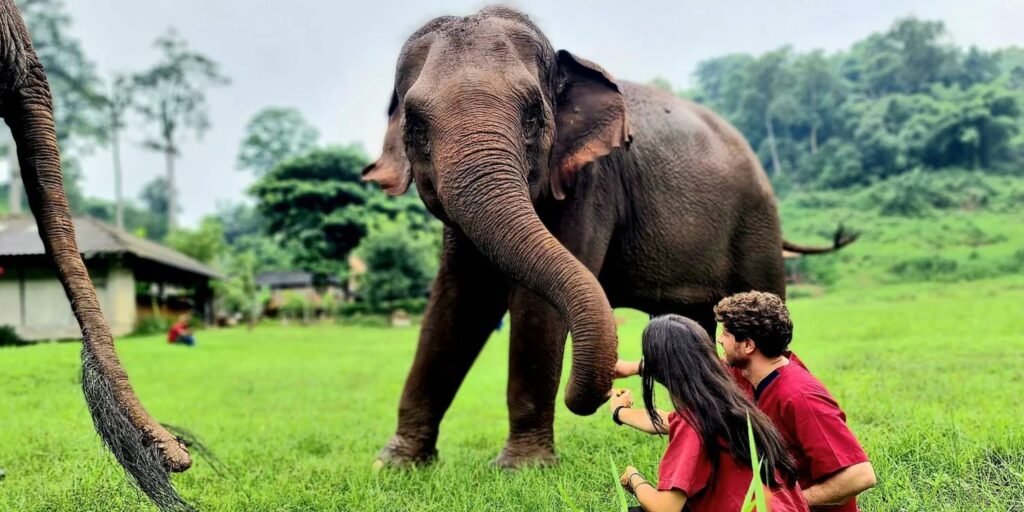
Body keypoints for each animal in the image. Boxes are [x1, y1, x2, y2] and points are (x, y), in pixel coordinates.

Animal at [362, 6, 856, 468]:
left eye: (533, 117)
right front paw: (396, 464)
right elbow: (459, 302)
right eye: (415, 125)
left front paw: (521, 468)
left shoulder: (591, 185)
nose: (602, 387)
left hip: (756, 223)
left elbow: (534, 307)